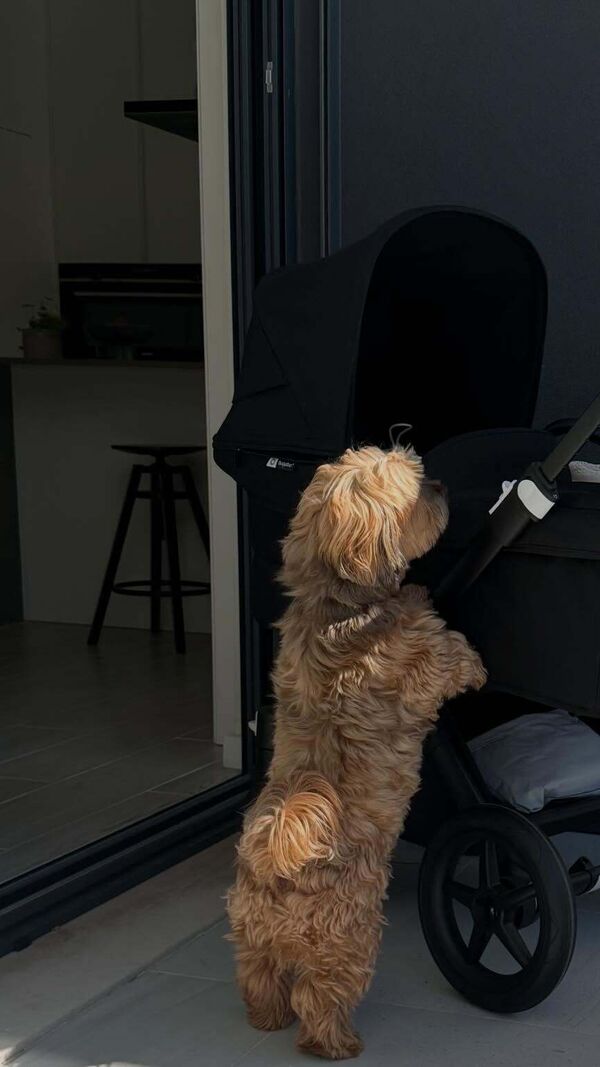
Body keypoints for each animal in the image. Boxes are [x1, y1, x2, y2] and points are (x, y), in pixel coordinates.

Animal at [227, 445, 486, 1060]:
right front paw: (473, 663)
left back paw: (266, 1018)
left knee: (260, 978)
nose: (442, 486)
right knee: (319, 998)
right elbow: (448, 654)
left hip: (252, 936)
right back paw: (337, 1043)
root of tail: (280, 858)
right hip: (347, 940)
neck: (336, 607)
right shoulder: (421, 665)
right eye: (414, 488)